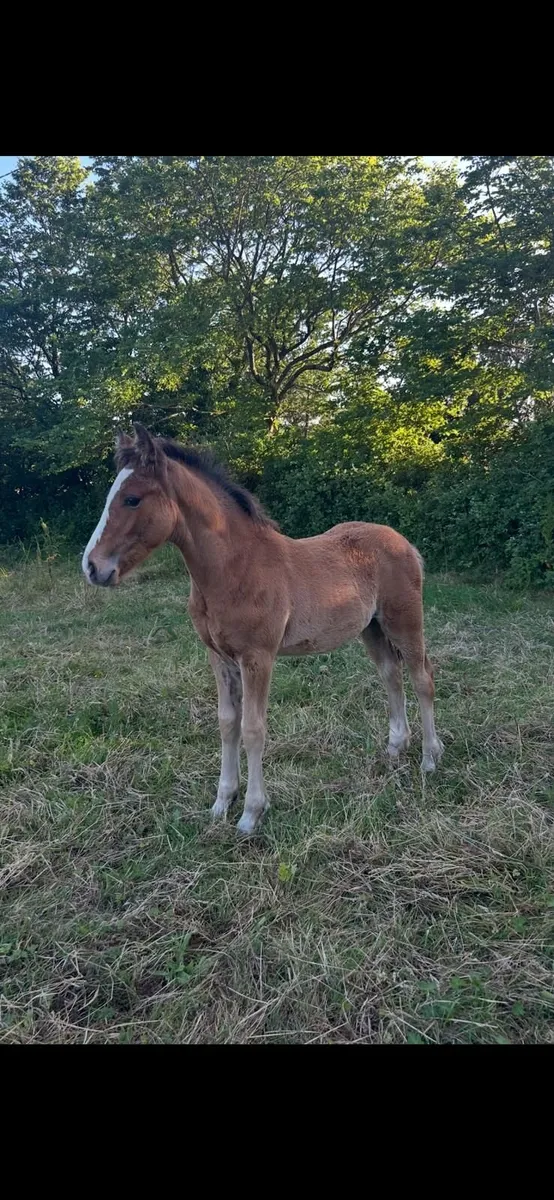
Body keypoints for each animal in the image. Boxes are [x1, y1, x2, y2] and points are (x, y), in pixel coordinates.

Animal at [82, 424, 443, 835]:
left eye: (132, 499)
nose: (92, 567)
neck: (234, 568)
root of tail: (404, 543)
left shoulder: (258, 657)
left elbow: (254, 729)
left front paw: (251, 813)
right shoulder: (218, 656)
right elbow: (227, 723)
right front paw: (222, 803)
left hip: (405, 622)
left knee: (422, 678)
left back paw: (430, 759)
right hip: (372, 629)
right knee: (391, 675)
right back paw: (396, 748)